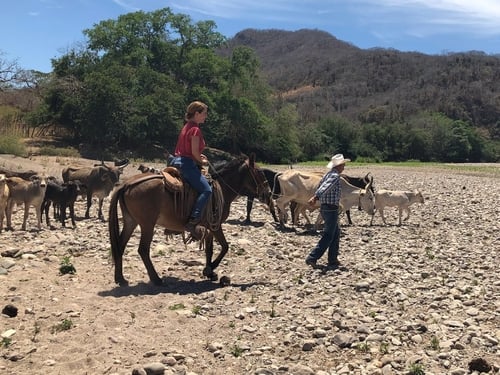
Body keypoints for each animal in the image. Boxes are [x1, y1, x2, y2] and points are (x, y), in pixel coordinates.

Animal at [107, 154, 268, 286]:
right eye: (260, 172)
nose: (268, 193)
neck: (222, 189)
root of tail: (126, 184)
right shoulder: (216, 226)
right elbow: (225, 247)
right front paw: (210, 268)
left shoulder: (209, 227)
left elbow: (209, 249)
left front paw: (210, 272)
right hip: (147, 225)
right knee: (143, 250)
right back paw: (156, 279)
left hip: (131, 221)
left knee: (120, 246)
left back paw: (120, 279)